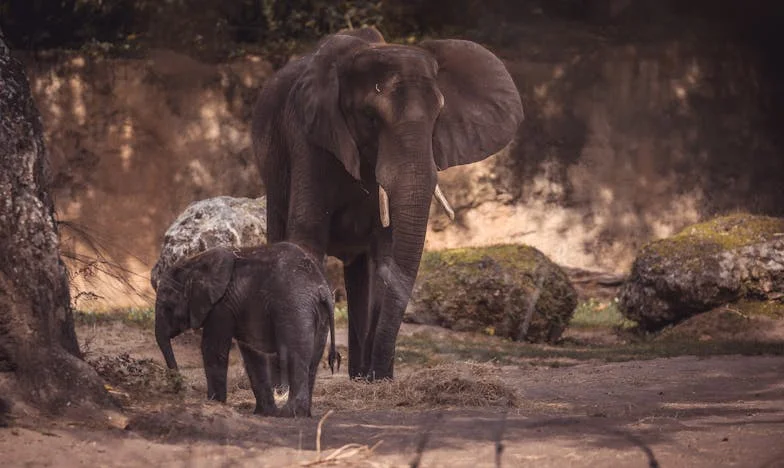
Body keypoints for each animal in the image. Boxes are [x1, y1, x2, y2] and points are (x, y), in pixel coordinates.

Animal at [153, 241, 336, 416]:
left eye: (168, 306)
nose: (181, 388)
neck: (194, 261)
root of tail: (321, 288)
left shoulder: (221, 305)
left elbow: (212, 349)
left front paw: (213, 404)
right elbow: (252, 355)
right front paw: (264, 413)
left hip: (293, 307)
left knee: (294, 355)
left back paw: (289, 413)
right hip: (319, 313)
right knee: (313, 359)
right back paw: (303, 414)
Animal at [253, 27, 520, 380]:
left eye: (438, 116)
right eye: (370, 117)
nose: (382, 375)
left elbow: (388, 250)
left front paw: (376, 381)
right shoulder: (308, 140)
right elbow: (306, 239)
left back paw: (357, 375)